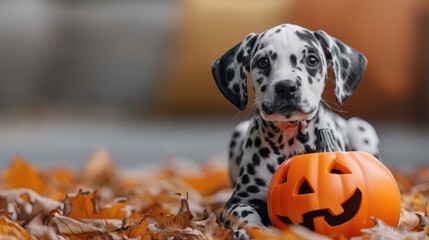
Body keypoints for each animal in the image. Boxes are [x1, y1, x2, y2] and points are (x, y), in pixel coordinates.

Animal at [209, 23, 380, 239]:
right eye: (263, 62)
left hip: (362, 127)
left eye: (312, 60)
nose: (286, 87)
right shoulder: (238, 200)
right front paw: (255, 230)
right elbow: (246, 212)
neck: (290, 141)